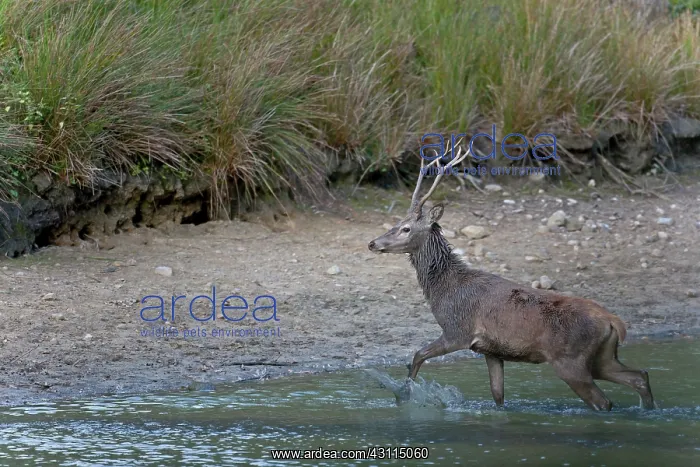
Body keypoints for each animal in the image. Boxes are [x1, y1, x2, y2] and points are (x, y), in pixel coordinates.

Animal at [367, 140, 655, 412]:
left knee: (604, 401)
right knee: (640, 375)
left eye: (405, 228)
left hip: (570, 360)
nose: (372, 243)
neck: (442, 290)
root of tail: (614, 322)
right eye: (396, 223)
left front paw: (404, 395)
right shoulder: (490, 350)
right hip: (603, 357)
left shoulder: (457, 331)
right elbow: (498, 396)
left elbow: (417, 355)